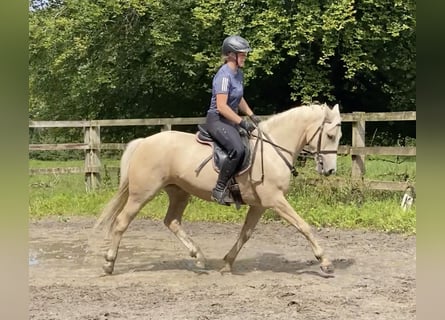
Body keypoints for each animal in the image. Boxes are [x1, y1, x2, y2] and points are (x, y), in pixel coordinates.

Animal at [93, 102, 342, 276]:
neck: (273, 150)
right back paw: (108, 263)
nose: (330, 170)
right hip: (142, 193)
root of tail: (144, 142)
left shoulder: (260, 205)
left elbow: (245, 234)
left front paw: (227, 263)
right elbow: (304, 226)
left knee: (171, 221)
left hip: (179, 192)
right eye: (330, 135)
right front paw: (325, 262)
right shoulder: (275, 200)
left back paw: (199, 257)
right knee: (121, 222)